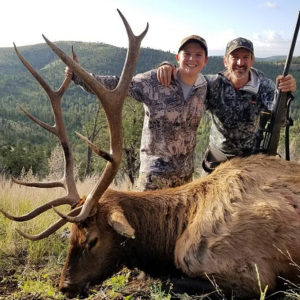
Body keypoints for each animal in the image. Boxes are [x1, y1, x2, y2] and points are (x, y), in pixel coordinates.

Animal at [0, 9, 300, 300]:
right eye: (72, 234)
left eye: (93, 239)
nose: (65, 286)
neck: (170, 238)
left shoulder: (253, 276)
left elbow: (165, 281)